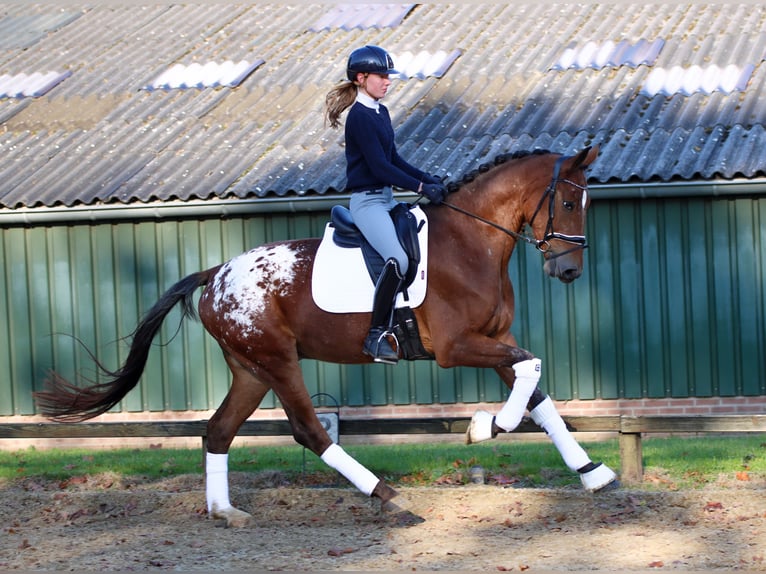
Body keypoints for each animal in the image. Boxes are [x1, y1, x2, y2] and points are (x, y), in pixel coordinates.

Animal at [34, 145, 616, 532]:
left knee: (218, 431)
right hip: (278, 362)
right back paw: (388, 495)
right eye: (569, 204)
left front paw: (593, 475)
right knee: (310, 431)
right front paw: (484, 427)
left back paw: (225, 511)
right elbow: (531, 372)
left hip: (250, 369)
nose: (568, 272)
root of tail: (216, 273)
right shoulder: (456, 348)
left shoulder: (496, 338)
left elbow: (537, 391)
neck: (472, 241)